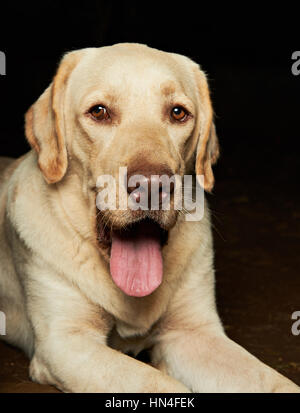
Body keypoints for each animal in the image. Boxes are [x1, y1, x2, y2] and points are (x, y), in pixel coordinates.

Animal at [0, 42, 298, 392]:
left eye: (178, 112)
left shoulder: (193, 334)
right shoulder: (66, 342)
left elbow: (273, 381)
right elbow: (158, 384)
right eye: (99, 112)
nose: (153, 186)